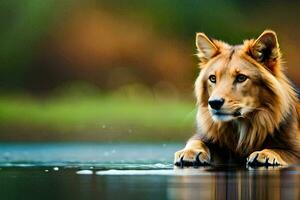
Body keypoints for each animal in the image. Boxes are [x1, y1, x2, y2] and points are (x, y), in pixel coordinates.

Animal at [173, 30, 300, 167]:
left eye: (241, 78)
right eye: (213, 78)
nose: (214, 103)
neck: (242, 125)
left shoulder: (295, 151)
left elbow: (281, 151)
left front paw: (264, 154)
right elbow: (196, 141)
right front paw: (189, 152)